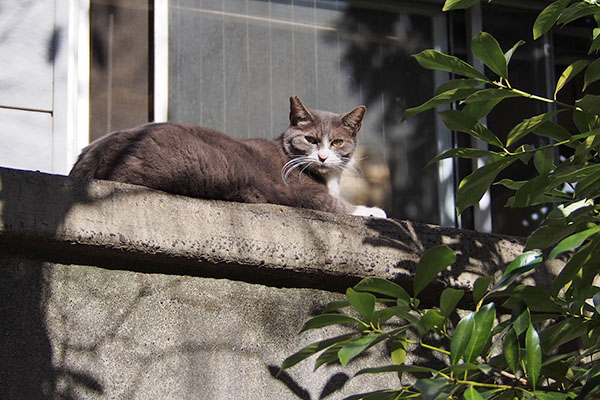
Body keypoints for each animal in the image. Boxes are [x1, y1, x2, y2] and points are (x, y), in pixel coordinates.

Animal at [70, 96, 386, 219]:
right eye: (310, 140)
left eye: (337, 142)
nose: (321, 157)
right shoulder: (305, 194)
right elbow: (336, 205)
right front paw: (374, 211)